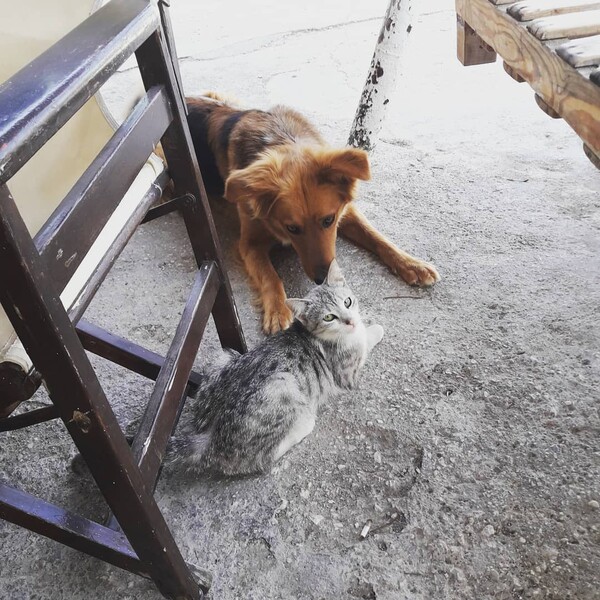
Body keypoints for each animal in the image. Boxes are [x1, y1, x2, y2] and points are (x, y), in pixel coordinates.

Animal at [166, 260, 382, 476]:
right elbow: (365, 343)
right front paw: (376, 330)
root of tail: (205, 438)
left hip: (226, 356)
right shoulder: (347, 373)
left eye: (347, 302)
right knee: (259, 460)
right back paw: (302, 427)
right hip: (281, 384)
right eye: (329, 317)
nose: (350, 321)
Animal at [183, 92, 440, 332]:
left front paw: (411, 264)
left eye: (328, 220)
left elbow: (377, 237)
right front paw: (278, 310)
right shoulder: (249, 243)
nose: (321, 279)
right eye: (292, 228)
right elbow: (270, 276)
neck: (282, 140)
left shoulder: (345, 212)